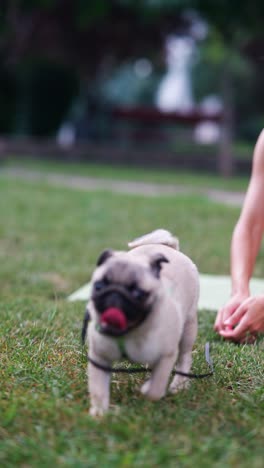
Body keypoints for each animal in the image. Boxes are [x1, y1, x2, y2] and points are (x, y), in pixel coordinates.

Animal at [85, 229, 199, 414]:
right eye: (98, 286)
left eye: (138, 294)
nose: (115, 293)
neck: (129, 332)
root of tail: (168, 247)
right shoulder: (99, 358)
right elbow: (98, 389)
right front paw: (99, 413)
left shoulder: (166, 356)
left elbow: (156, 388)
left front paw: (147, 390)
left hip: (188, 330)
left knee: (185, 358)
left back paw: (178, 386)